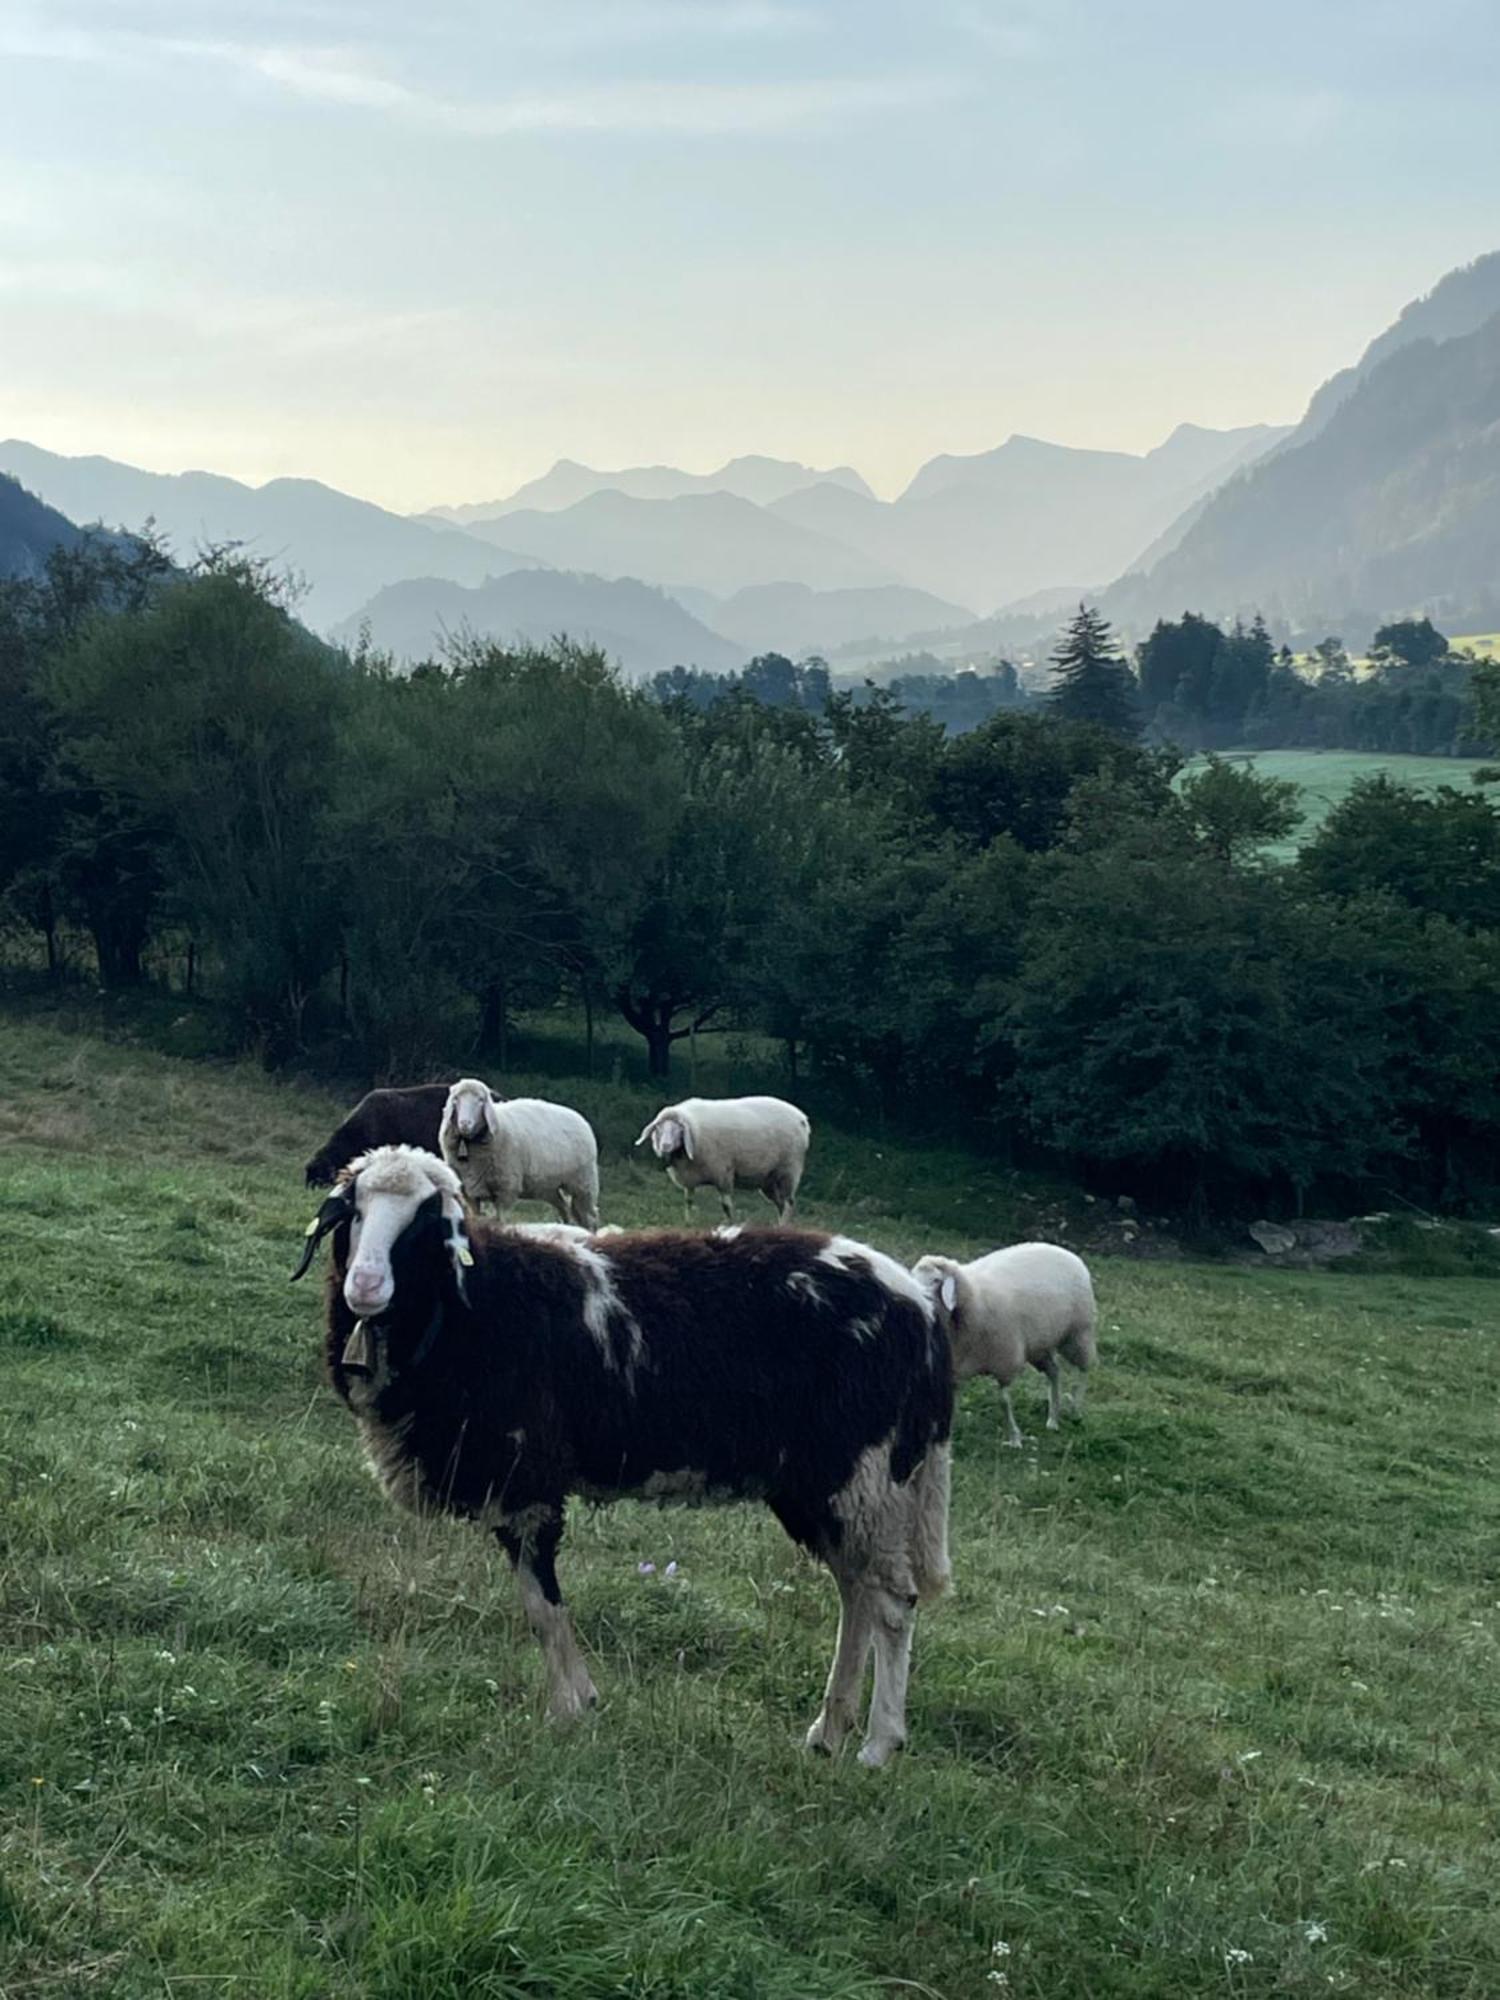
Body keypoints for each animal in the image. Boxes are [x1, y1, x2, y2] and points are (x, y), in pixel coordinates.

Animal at [440, 1080, 600, 1232]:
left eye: (481, 1100)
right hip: (548, 1187)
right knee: (564, 1208)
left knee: (589, 1217)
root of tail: (580, 1118)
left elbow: (501, 1222)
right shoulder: (469, 1192)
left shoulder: (506, 1189)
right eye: (455, 1099)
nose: (465, 1123)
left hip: (583, 1183)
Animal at [640, 1096, 816, 1216]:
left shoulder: (723, 1174)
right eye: (659, 1128)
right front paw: (688, 1222)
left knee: (788, 1204)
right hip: (769, 1180)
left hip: (788, 1170)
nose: (665, 1146)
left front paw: (730, 1226)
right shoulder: (690, 1178)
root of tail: (802, 1118)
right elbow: (688, 1202)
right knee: (781, 1205)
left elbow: (726, 1207)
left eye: (679, 1130)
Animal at [912, 1240, 1096, 1448]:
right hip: (1038, 1346)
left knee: (1084, 1369)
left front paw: (1015, 1438)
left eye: (936, 1280)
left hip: (1078, 1332)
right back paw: (1053, 1418)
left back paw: (1075, 1411)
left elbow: (1004, 1401)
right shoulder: (954, 1370)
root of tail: (1063, 1250)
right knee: (1054, 1371)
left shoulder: (1005, 1360)